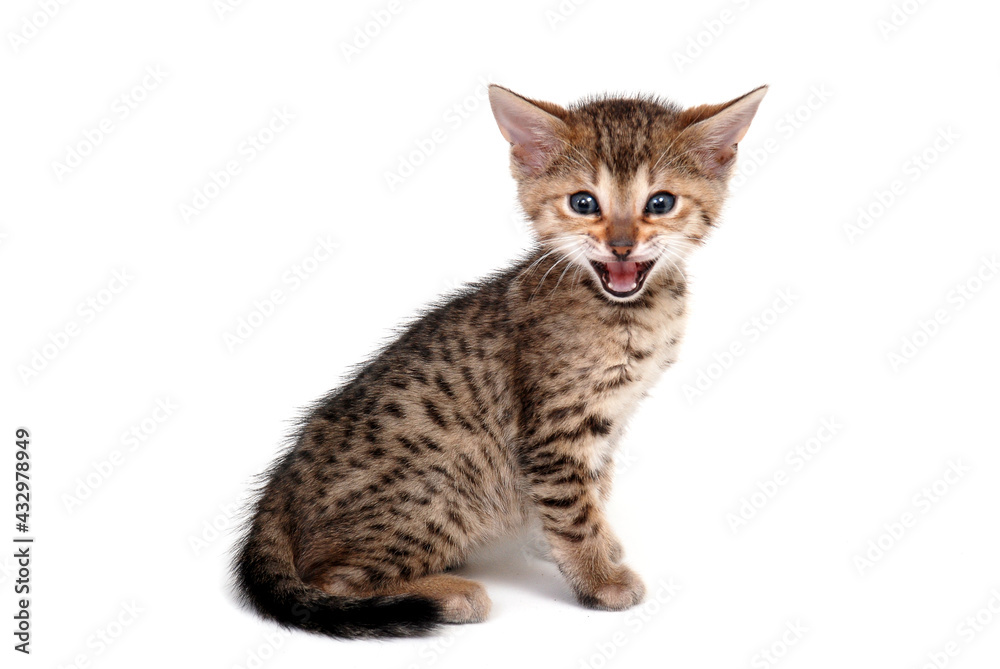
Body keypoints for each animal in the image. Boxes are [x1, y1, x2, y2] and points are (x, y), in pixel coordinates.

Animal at [232, 82, 764, 636]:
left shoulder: (607, 421)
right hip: (443, 486)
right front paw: (599, 579)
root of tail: (281, 486)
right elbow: (573, 511)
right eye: (583, 203)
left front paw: (598, 547)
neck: (628, 311)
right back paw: (450, 593)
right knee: (332, 579)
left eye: (660, 203)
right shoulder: (554, 432)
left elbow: (593, 488)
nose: (621, 246)